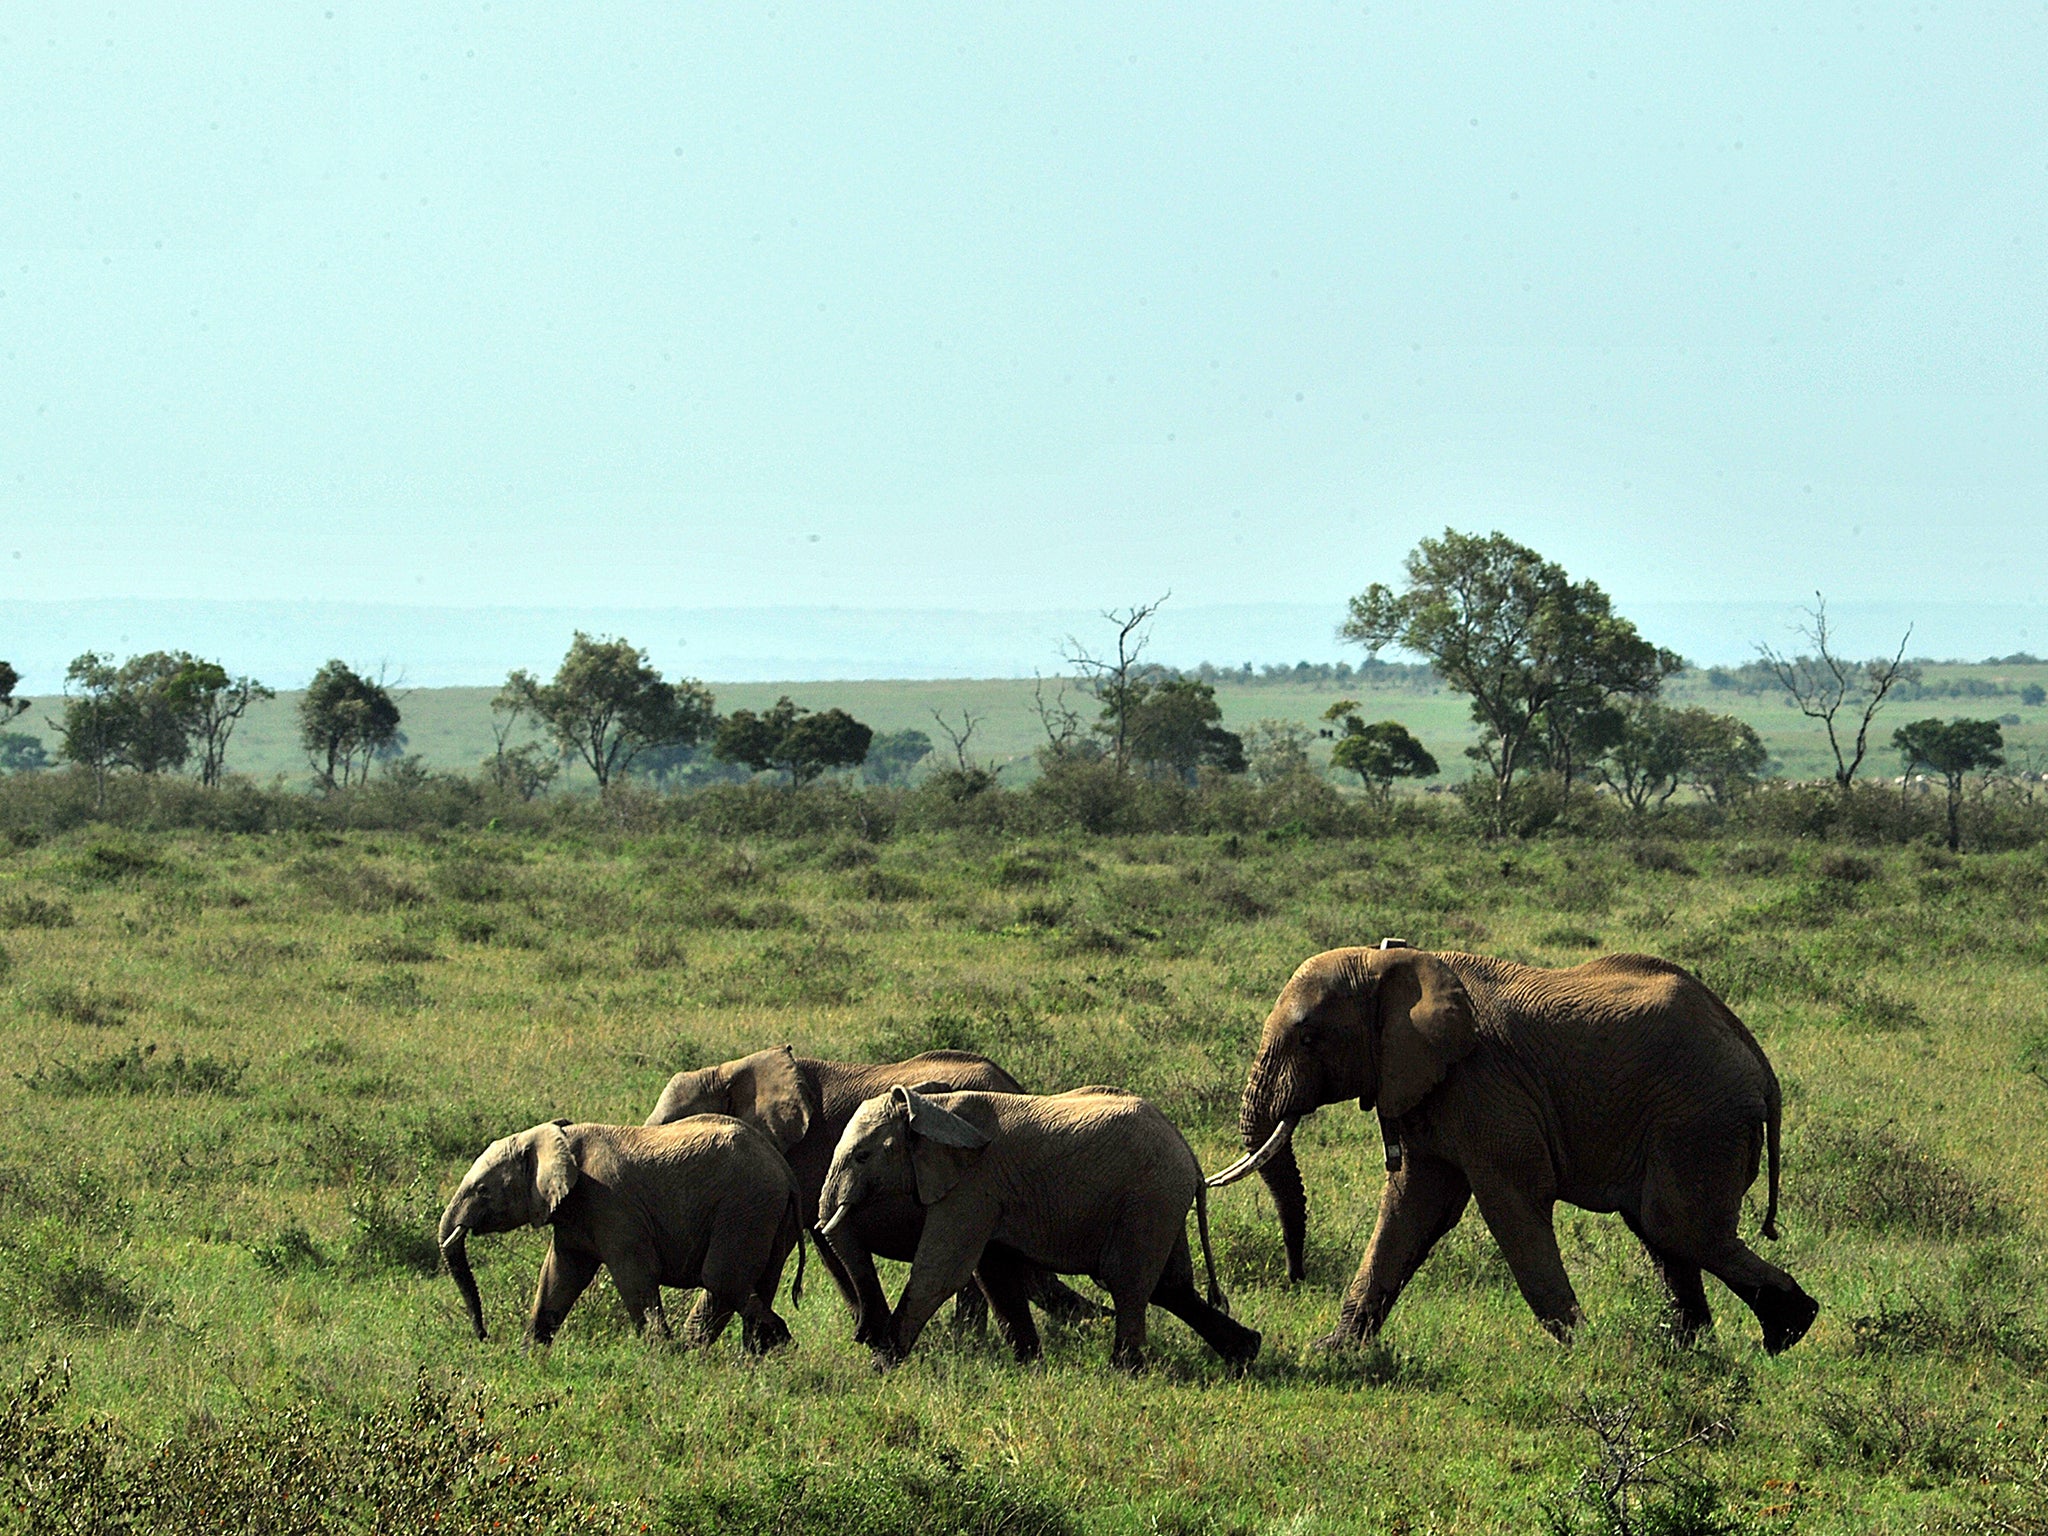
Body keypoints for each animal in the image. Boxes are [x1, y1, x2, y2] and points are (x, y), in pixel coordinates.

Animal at [438, 1114, 798, 1351]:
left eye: (482, 1190)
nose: (483, 1336)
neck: (560, 1139)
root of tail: (782, 1166)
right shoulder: (575, 1214)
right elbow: (559, 1275)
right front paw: (529, 1353)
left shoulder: (611, 1202)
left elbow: (634, 1273)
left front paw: (660, 1355)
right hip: (765, 1213)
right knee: (755, 1282)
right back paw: (759, 1354)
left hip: (744, 1205)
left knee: (721, 1279)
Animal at [815, 1081, 1245, 1368]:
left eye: (862, 1157)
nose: (863, 1337)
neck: (930, 1107)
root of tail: (1187, 1151)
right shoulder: (988, 1193)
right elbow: (995, 1271)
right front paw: (1029, 1363)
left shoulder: (973, 1184)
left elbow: (939, 1272)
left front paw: (883, 1366)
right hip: (1161, 1198)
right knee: (1171, 1287)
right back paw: (1245, 1354)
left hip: (1148, 1195)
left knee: (1127, 1280)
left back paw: (1125, 1369)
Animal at [1204, 937, 1818, 1359]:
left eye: (1309, 1038)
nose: (1296, 1277)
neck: (1392, 965)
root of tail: (1759, 1061)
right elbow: (1412, 1210)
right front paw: (1335, 1351)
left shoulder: (1485, 1084)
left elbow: (1512, 1205)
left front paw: (1582, 1350)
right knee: (1664, 1233)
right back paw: (1695, 1349)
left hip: (1699, 1118)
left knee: (1677, 1226)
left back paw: (1790, 1329)